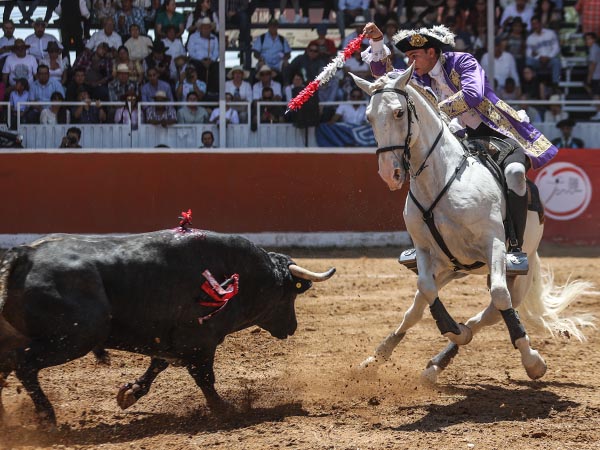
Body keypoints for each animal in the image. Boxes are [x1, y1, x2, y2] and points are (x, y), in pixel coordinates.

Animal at [0, 230, 336, 424]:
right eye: (290, 294)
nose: (291, 327)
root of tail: (24, 254)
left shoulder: (170, 339)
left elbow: (157, 365)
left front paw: (130, 393)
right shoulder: (200, 341)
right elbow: (205, 378)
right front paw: (224, 409)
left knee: (8, 365)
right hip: (74, 338)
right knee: (24, 365)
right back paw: (47, 416)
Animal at [350, 67, 592, 384]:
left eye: (399, 112)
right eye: (368, 117)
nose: (390, 173)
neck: (441, 179)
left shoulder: (494, 244)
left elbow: (499, 296)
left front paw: (532, 360)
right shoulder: (425, 250)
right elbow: (424, 289)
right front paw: (453, 329)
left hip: (517, 273)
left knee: (494, 308)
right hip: (452, 268)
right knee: (418, 308)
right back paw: (388, 360)